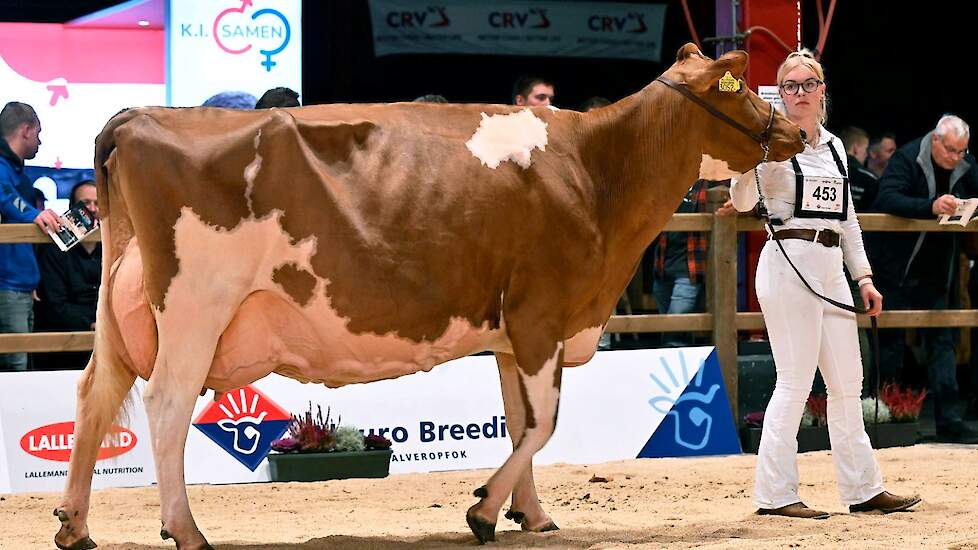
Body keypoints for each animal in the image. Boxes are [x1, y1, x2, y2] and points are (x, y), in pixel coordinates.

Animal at [55, 45, 800, 548]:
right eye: (739, 88)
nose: (795, 130)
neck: (594, 170)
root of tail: (137, 117)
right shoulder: (539, 315)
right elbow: (544, 424)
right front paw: (483, 509)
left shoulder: (512, 332)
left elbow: (520, 421)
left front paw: (530, 514)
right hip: (194, 306)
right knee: (166, 405)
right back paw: (185, 529)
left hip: (123, 308)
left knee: (96, 395)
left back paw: (75, 523)